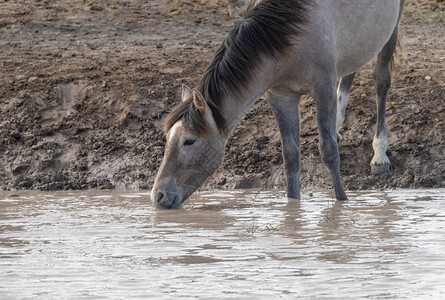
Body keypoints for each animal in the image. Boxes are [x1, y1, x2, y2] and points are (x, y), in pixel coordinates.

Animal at [151, 0, 404, 209]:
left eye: (189, 141)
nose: (158, 196)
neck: (290, 32)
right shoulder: (281, 96)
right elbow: (290, 156)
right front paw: (292, 206)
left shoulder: (323, 87)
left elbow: (328, 151)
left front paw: (342, 202)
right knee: (350, 71)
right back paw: (339, 125)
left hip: (392, 26)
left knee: (381, 81)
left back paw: (379, 154)